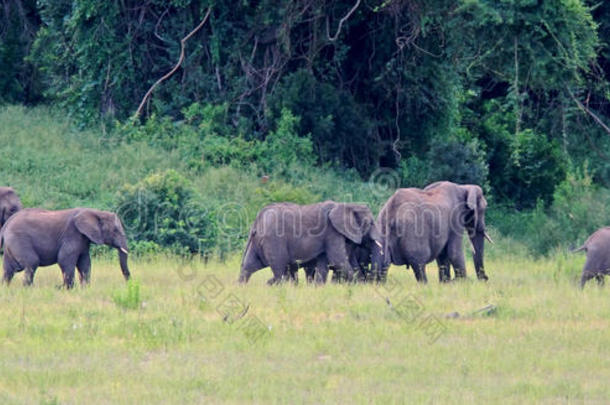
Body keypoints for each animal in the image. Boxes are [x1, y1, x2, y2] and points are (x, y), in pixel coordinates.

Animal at [1, 208, 131, 288]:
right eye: (115, 231)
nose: (129, 284)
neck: (95, 212)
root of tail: (7, 224)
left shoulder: (83, 239)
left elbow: (85, 263)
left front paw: (85, 289)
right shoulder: (72, 234)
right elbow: (64, 260)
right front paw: (69, 289)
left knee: (9, 269)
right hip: (19, 239)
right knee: (32, 262)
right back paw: (29, 289)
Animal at [238, 200, 380, 284]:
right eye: (371, 223)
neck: (347, 205)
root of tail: (257, 220)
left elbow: (326, 261)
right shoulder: (332, 232)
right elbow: (338, 259)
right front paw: (358, 285)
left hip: (258, 241)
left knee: (248, 266)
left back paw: (242, 287)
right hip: (273, 241)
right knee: (280, 269)